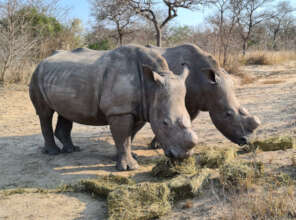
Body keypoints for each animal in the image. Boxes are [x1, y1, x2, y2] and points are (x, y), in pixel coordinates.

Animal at [28, 44, 198, 170]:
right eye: (165, 123)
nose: (183, 156)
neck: (151, 85)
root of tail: (42, 60)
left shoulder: (140, 107)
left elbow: (129, 136)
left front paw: (127, 157)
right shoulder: (119, 110)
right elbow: (123, 137)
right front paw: (129, 167)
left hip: (62, 76)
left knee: (66, 113)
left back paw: (72, 150)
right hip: (36, 75)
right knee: (45, 114)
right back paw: (53, 152)